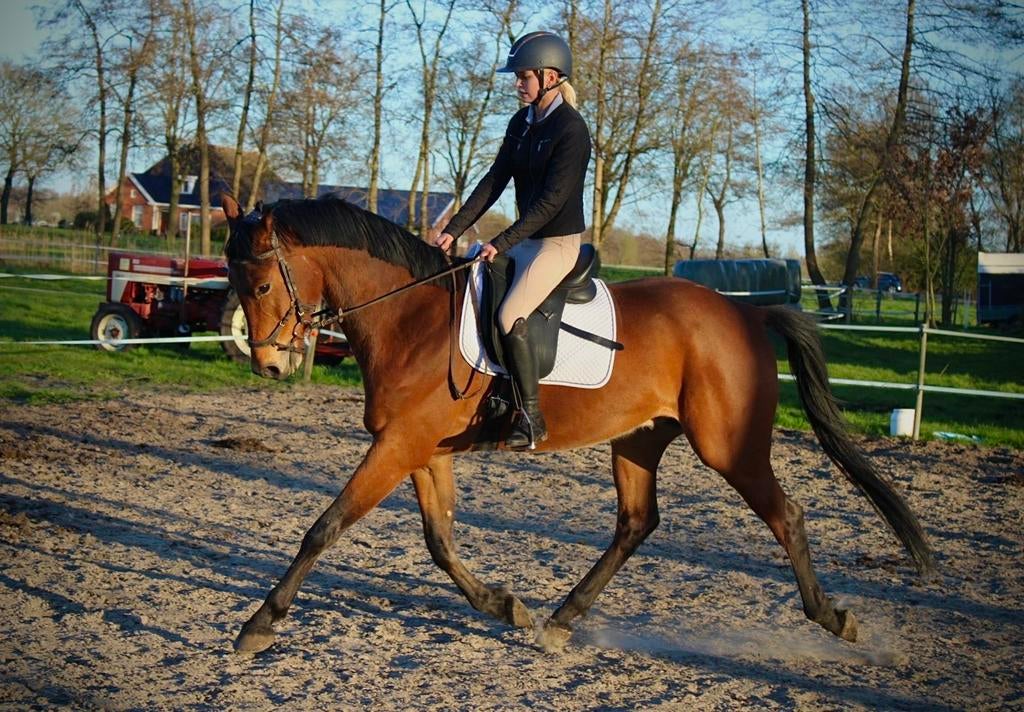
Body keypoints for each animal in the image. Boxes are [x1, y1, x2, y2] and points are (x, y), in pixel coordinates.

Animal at [220, 193, 933, 655]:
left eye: (261, 286)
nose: (269, 365)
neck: (411, 316)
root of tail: (747, 314)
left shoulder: (398, 445)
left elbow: (324, 527)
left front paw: (259, 624)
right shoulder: (422, 450)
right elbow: (439, 541)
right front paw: (506, 606)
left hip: (729, 448)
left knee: (787, 516)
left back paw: (833, 619)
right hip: (639, 439)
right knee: (636, 523)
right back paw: (560, 620)